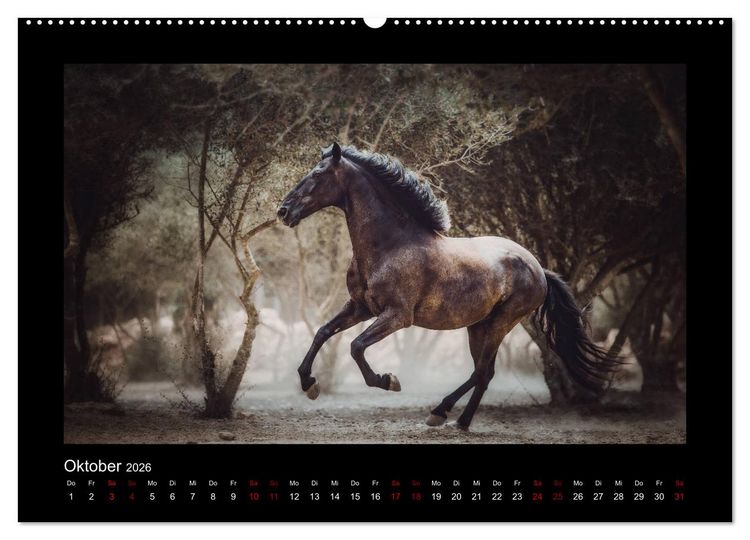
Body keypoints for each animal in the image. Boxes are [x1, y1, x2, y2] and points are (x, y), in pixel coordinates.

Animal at [277, 142, 617, 430]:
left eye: (318, 174)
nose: (283, 211)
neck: (390, 245)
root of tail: (538, 268)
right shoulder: (360, 307)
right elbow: (323, 332)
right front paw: (309, 384)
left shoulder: (397, 316)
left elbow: (356, 346)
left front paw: (388, 380)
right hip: (478, 326)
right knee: (484, 374)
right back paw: (456, 420)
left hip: (502, 323)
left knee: (481, 372)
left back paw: (442, 413)